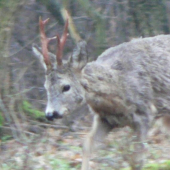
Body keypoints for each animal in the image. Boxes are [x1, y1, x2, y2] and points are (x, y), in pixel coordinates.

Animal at [32, 15, 170, 170]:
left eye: (66, 87)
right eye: (46, 87)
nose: (50, 114)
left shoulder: (146, 113)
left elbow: (137, 160)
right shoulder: (104, 119)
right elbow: (87, 145)